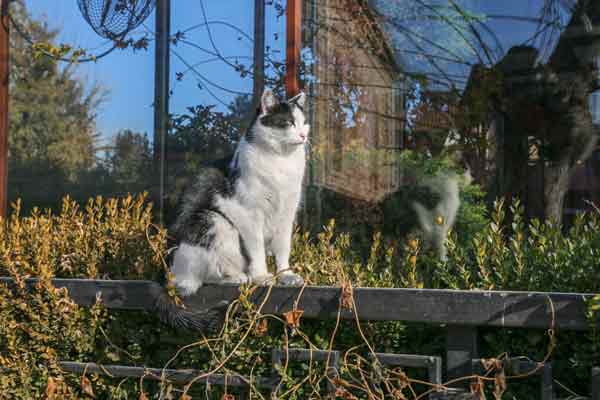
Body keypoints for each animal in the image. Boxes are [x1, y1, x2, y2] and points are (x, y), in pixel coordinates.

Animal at [170, 91, 308, 296]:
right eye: (288, 122)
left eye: (304, 122)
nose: (304, 135)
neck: (281, 161)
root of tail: (174, 274)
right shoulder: (249, 213)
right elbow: (257, 248)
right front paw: (261, 276)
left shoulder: (287, 214)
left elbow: (284, 247)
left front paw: (286, 275)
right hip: (214, 222)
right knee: (209, 276)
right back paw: (239, 277)